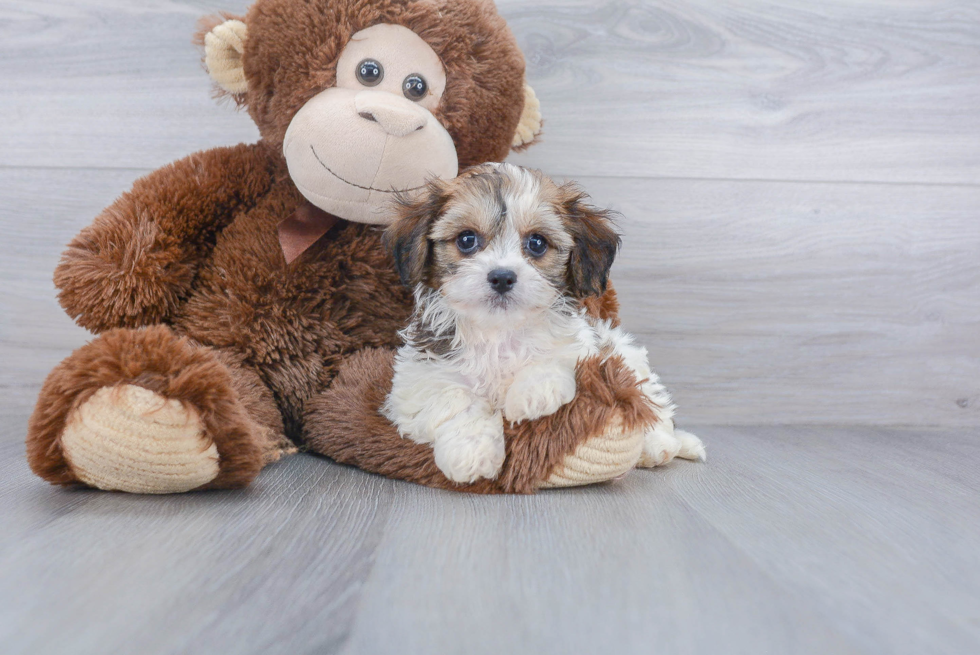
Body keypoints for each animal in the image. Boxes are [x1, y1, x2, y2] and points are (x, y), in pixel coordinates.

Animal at [380, 162, 704, 484]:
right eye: (466, 239)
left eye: (536, 243)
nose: (502, 277)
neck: (499, 331)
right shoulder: (418, 377)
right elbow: (453, 397)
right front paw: (471, 452)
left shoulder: (587, 349)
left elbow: (556, 357)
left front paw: (533, 394)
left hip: (627, 356)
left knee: (652, 404)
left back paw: (660, 446)